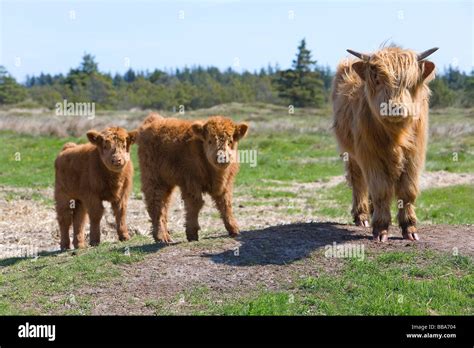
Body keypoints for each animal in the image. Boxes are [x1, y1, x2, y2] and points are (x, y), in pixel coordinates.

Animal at [136, 113, 248, 242]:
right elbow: (195, 204)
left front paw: (233, 229)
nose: (221, 157)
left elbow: (225, 203)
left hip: (166, 182)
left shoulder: (226, 184)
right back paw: (161, 236)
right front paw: (192, 233)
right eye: (209, 141)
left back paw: (165, 235)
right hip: (154, 178)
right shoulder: (190, 182)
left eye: (230, 141)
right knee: (155, 204)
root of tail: (153, 119)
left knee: (164, 205)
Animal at [332, 45, 438, 242]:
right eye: (377, 79)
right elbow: (380, 189)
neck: (396, 134)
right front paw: (380, 228)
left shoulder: (414, 155)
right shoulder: (370, 154)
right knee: (358, 180)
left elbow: (408, 190)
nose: (394, 107)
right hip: (351, 154)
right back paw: (362, 216)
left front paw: (409, 228)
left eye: (410, 81)